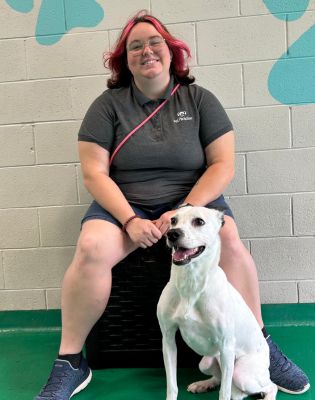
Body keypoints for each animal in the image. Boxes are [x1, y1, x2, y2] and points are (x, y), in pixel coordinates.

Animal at [157, 206, 278, 400]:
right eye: (173, 220)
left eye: (199, 221)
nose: (172, 234)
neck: (191, 284)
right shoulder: (168, 339)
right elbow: (172, 386)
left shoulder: (226, 346)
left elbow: (224, 392)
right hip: (206, 362)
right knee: (220, 378)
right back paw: (203, 384)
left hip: (241, 373)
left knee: (268, 386)